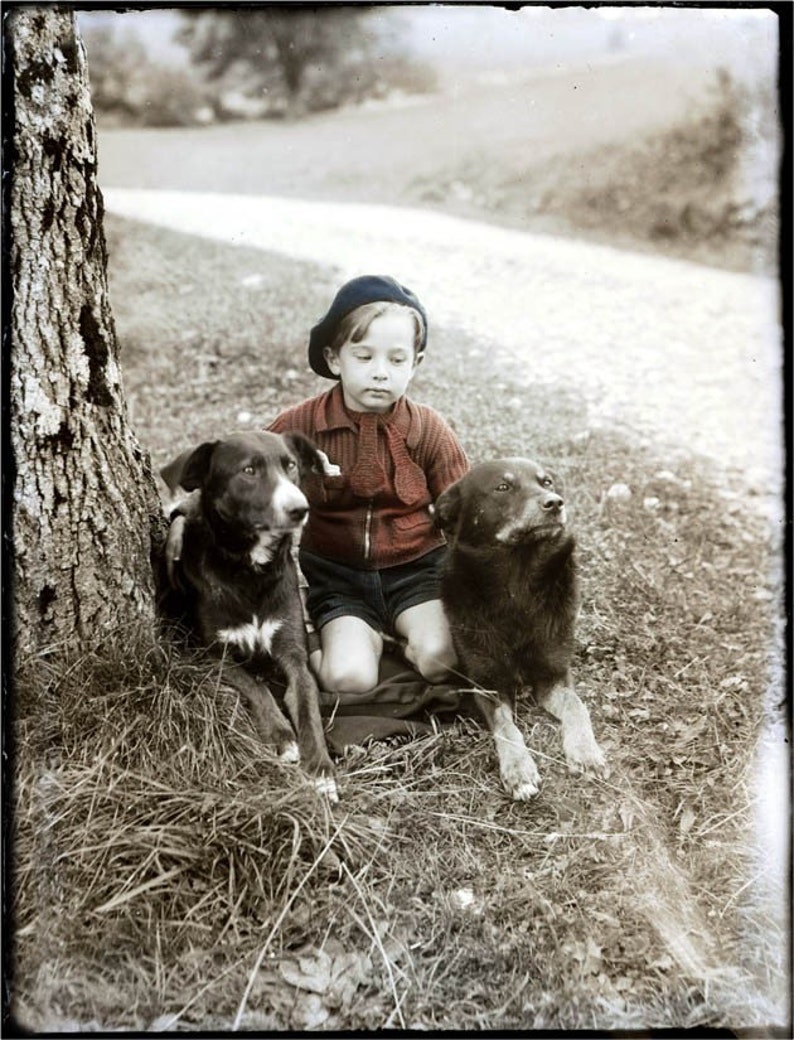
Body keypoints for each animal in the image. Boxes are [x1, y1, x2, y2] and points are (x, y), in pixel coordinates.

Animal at [160, 426, 337, 798]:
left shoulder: (294, 655)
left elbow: (308, 704)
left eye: (291, 465)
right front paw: (282, 736)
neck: (251, 571)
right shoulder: (210, 655)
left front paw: (320, 766)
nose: (300, 508)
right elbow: (254, 684)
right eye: (249, 470)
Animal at [434, 459, 607, 798]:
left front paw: (586, 753)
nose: (555, 503)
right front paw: (519, 769)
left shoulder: (554, 676)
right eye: (503, 487)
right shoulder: (486, 684)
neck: (518, 584)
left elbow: (578, 707)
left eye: (547, 482)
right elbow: (507, 727)